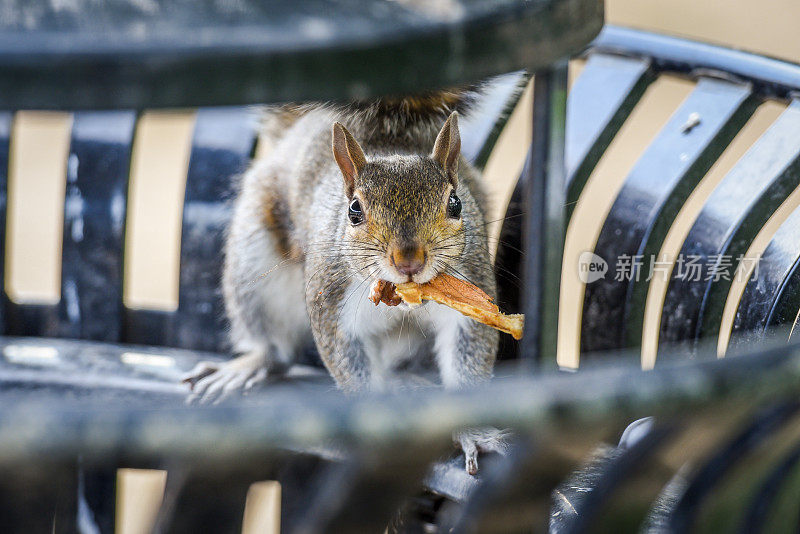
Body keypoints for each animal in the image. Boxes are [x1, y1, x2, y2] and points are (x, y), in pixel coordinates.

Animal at [183, 86, 506, 476]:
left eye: (455, 204)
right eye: (354, 211)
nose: (409, 261)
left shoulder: (472, 294)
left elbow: (469, 358)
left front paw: (474, 432)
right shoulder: (333, 304)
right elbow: (349, 363)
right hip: (253, 264)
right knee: (276, 349)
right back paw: (250, 365)